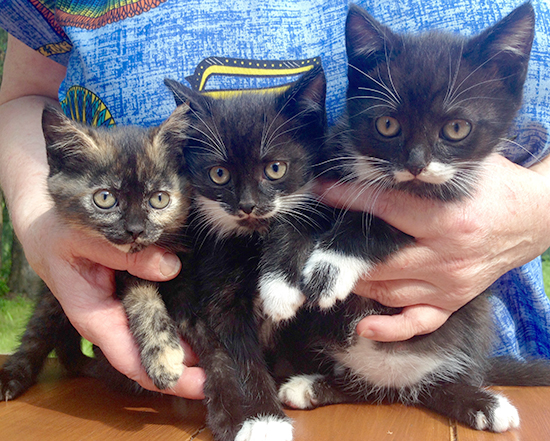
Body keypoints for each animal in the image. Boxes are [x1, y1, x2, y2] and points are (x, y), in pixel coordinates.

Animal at [0, 103, 193, 400]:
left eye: (159, 199)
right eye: (105, 198)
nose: (135, 230)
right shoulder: (128, 272)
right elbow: (144, 301)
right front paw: (163, 358)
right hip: (51, 300)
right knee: (38, 334)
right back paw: (13, 376)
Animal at [158, 65, 326, 441]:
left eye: (275, 168)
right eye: (219, 174)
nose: (247, 205)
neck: (252, 237)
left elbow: (299, 221)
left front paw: (279, 290)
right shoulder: (220, 294)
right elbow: (241, 357)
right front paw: (265, 421)